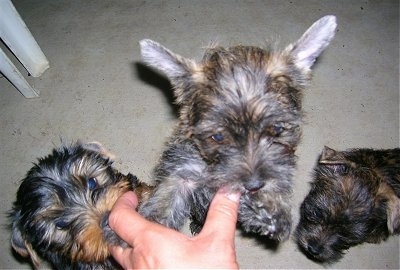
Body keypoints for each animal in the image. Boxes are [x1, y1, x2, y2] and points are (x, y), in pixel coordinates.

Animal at [139, 15, 336, 242]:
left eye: (277, 129)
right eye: (217, 137)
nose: (254, 185)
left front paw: (272, 211)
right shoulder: (182, 172)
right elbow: (164, 204)